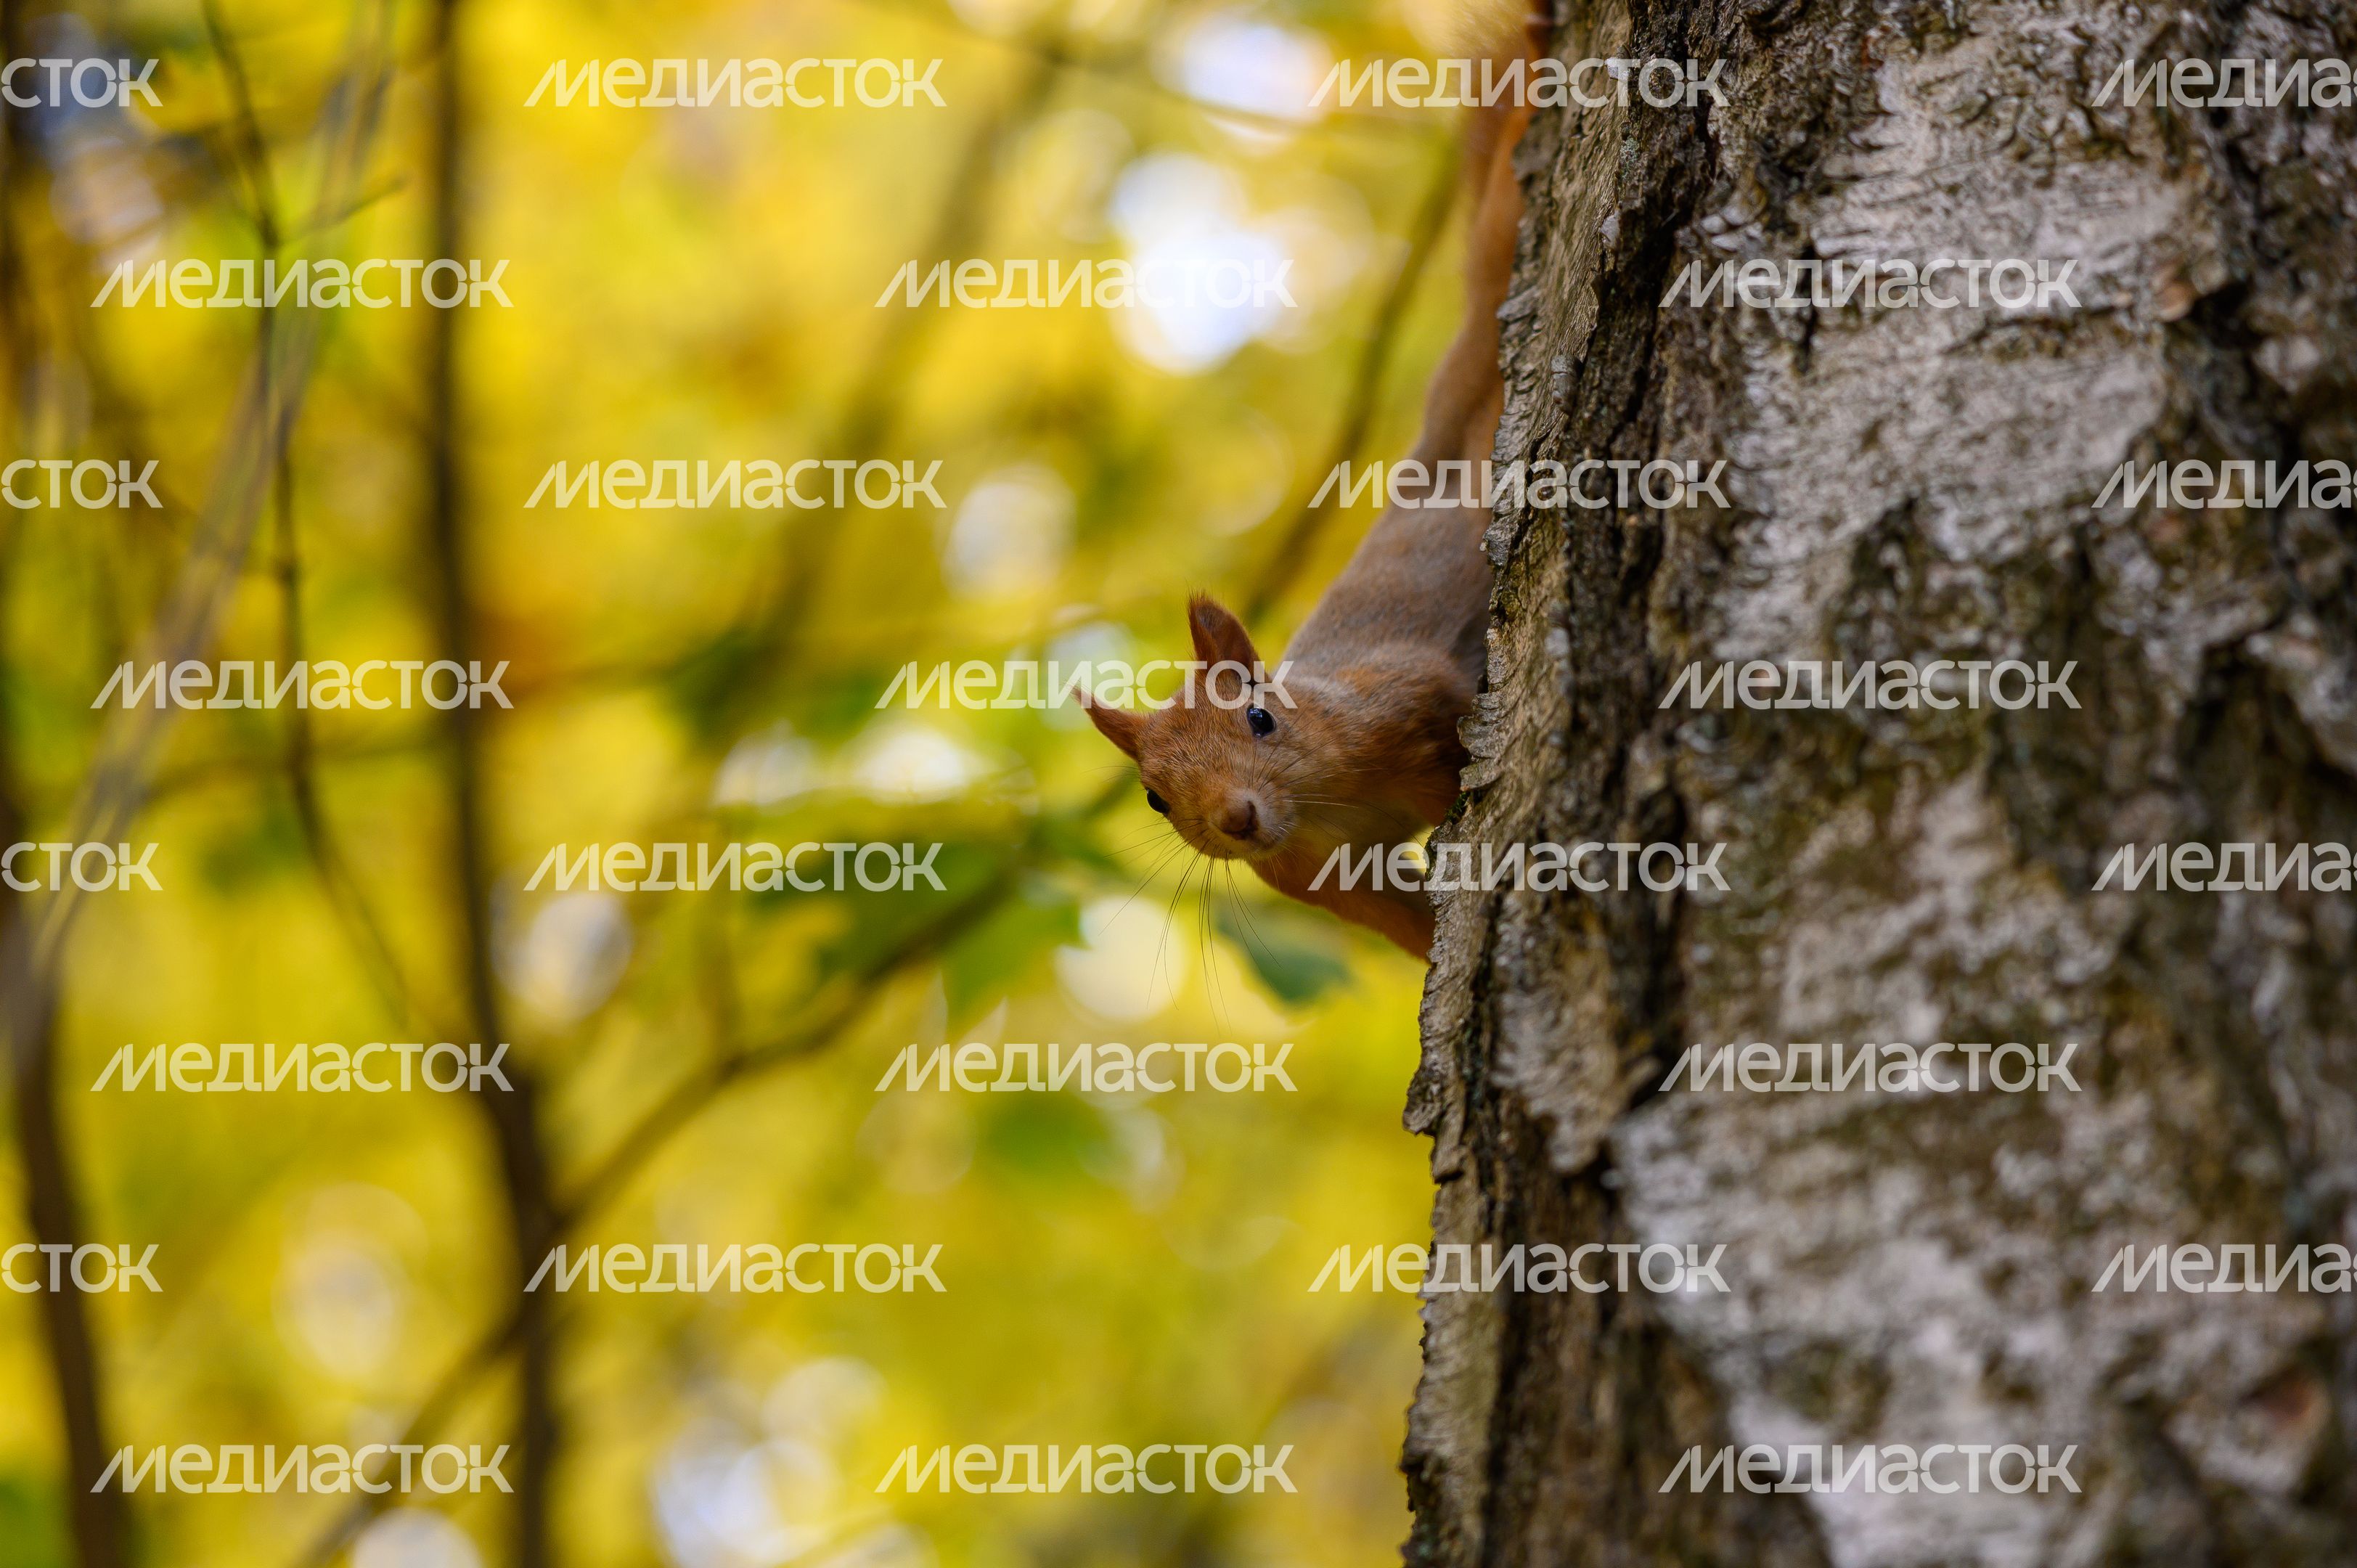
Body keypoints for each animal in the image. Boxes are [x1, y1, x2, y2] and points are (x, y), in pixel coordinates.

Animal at [1084, 22, 1539, 958]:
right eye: (1155, 797)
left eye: (1259, 719)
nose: (1236, 818)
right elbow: (1411, 926)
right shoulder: (1322, 877)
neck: (1326, 801)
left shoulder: (1402, 699)